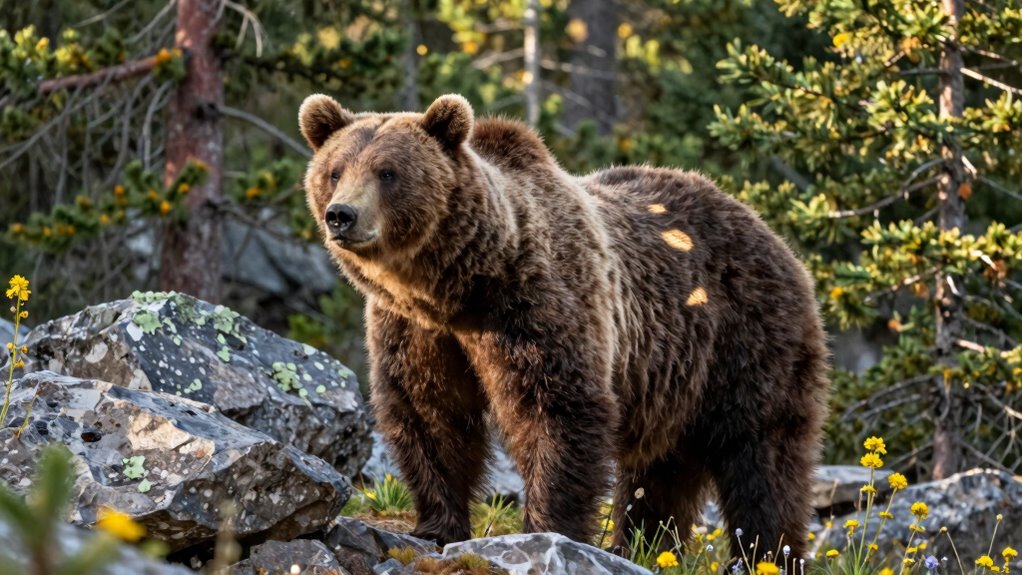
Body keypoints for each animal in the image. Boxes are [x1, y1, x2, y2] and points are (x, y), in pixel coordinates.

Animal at [298, 93, 830, 559]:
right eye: (335, 170)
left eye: (388, 172)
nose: (342, 214)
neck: (456, 289)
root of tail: (770, 232)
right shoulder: (416, 330)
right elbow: (430, 413)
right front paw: (436, 526)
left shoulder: (535, 306)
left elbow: (555, 410)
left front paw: (548, 526)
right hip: (676, 382)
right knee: (661, 471)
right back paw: (644, 546)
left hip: (749, 338)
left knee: (763, 454)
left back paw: (767, 552)